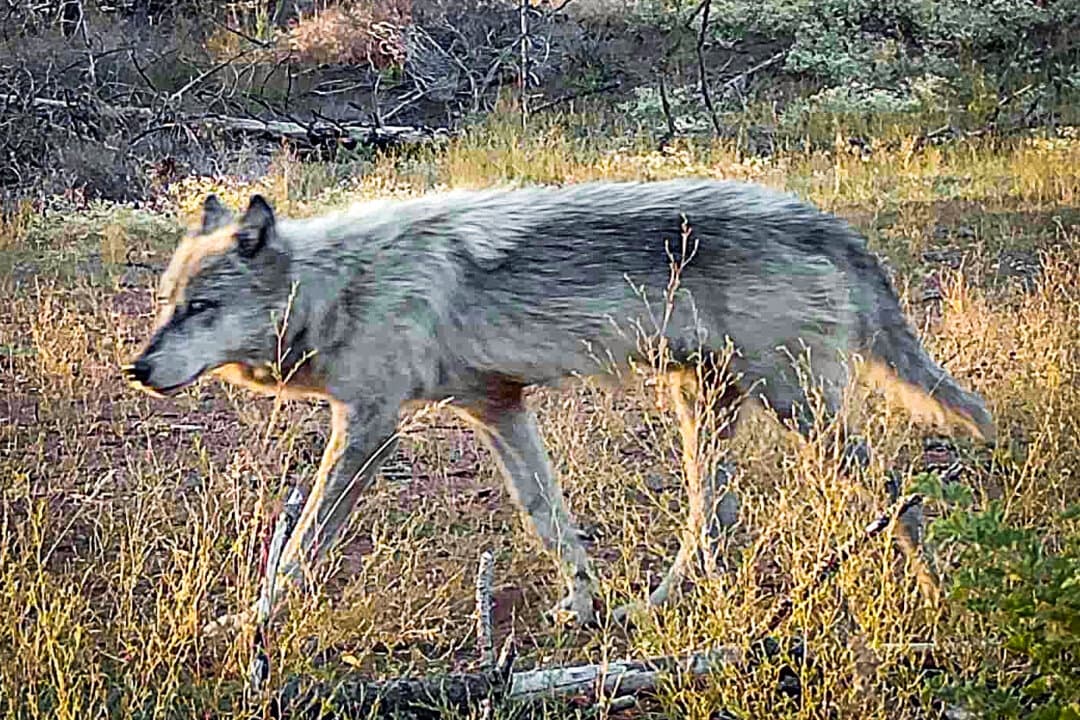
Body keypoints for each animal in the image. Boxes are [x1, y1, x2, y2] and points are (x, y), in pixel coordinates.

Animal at [123, 178, 994, 631]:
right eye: (166, 304)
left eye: (200, 309)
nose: (138, 369)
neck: (339, 283)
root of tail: (825, 221)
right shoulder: (498, 407)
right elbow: (549, 517)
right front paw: (582, 603)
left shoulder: (370, 429)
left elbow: (301, 545)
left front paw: (253, 621)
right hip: (705, 408)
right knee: (714, 518)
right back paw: (651, 608)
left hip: (798, 409)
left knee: (898, 492)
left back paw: (936, 597)